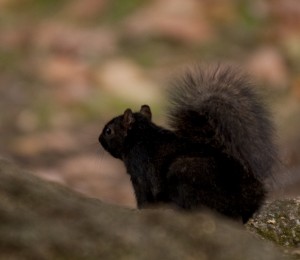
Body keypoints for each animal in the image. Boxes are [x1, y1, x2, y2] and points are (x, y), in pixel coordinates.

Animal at [99, 65, 278, 223]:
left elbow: (144, 197)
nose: (99, 139)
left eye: (108, 131)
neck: (142, 136)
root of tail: (244, 197)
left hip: (184, 173)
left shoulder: (140, 172)